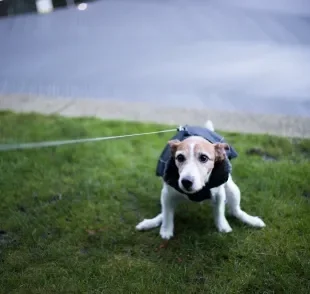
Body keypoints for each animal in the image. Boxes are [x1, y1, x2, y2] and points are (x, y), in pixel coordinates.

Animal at [136, 120, 266, 240]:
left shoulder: (219, 193)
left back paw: (251, 220)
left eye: (204, 158)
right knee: (165, 210)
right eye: (180, 157)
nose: (186, 182)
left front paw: (223, 226)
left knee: (235, 210)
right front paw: (166, 230)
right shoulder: (168, 193)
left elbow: (219, 211)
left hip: (233, 189)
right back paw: (151, 222)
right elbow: (167, 214)